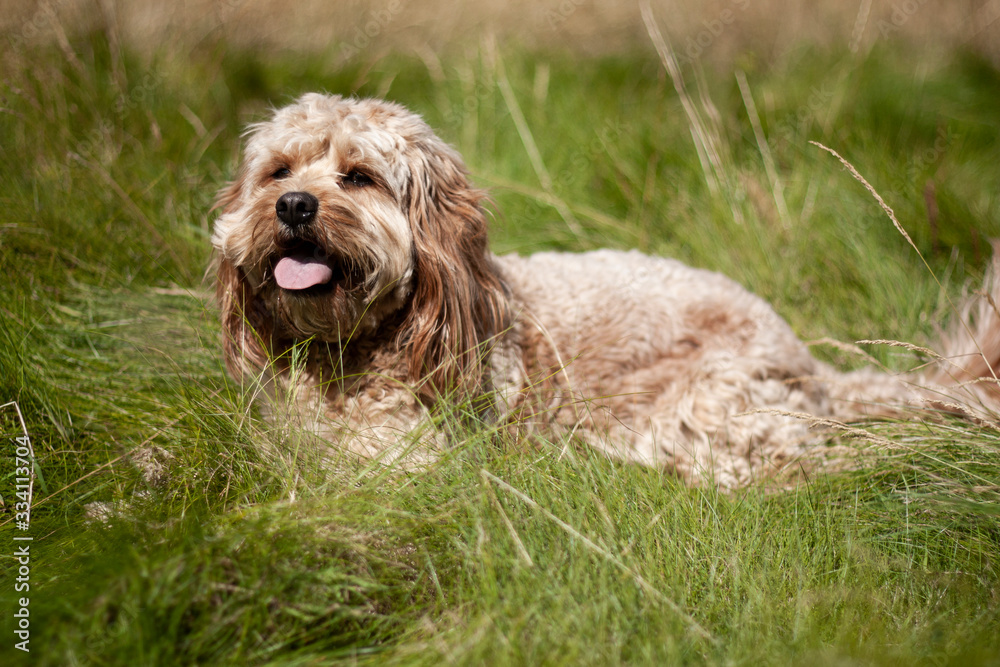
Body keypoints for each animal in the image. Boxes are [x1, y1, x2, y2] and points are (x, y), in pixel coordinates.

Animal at [211, 94, 1000, 488]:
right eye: (279, 172)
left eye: (359, 177)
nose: (294, 207)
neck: (352, 350)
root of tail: (811, 365)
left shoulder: (409, 459)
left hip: (703, 414)